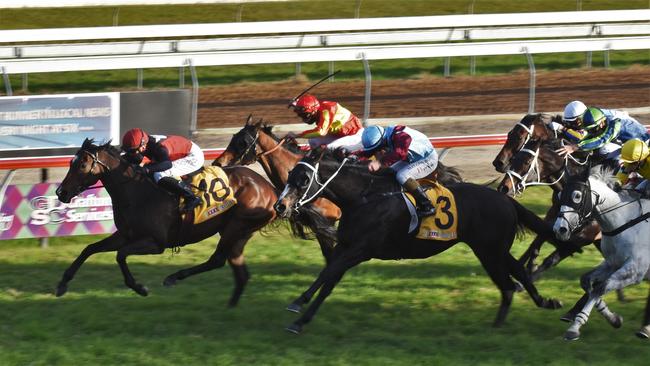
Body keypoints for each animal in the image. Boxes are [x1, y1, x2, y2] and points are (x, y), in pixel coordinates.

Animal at [53, 139, 280, 304]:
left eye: (82, 164)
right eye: (71, 163)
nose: (61, 192)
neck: (136, 192)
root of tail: (270, 189)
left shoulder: (155, 243)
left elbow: (121, 255)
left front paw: (140, 288)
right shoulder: (125, 235)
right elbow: (89, 249)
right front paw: (62, 284)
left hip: (237, 226)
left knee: (217, 260)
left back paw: (174, 277)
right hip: (238, 232)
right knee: (238, 271)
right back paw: (230, 305)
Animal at [274, 149, 560, 334]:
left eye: (303, 180)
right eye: (289, 175)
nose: (280, 205)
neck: (365, 197)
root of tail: (505, 199)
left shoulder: (360, 250)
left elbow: (328, 274)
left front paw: (298, 307)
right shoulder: (346, 247)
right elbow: (327, 279)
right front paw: (300, 314)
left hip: (489, 251)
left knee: (508, 282)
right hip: (494, 249)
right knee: (516, 274)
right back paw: (540, 304)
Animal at [552, 169, 648, 340]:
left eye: (577, 196)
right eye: (560, 195)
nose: (559, 229)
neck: (625, 222)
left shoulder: (635, 270)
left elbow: (601, 287)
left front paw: (575, 327)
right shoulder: (612, 263)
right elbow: (587, 282)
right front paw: (614, 318)